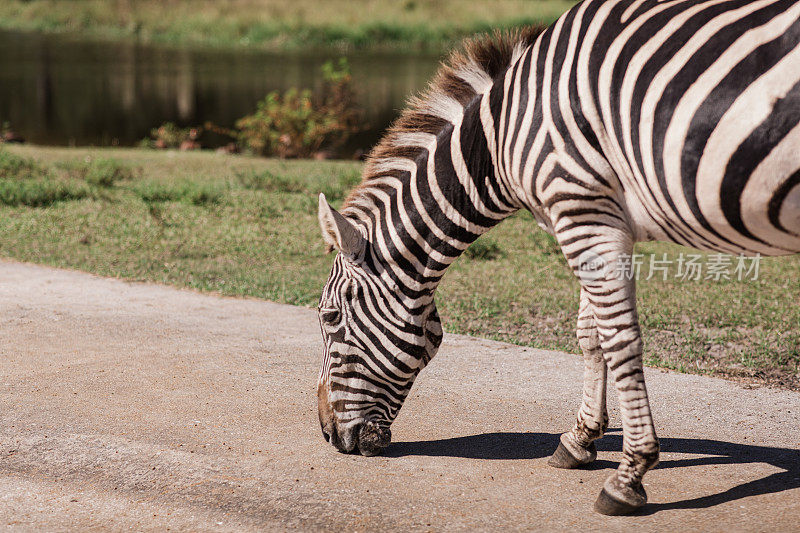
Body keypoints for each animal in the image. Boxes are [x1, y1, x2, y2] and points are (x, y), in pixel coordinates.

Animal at [316, 0, 796, 516]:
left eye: (329, 317)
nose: (327, 436)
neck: (501, 137)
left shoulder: (580, 206)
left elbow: (619, 339)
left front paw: (629, 476)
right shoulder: (597, 214)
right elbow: (591, 333)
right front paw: (580, 441)